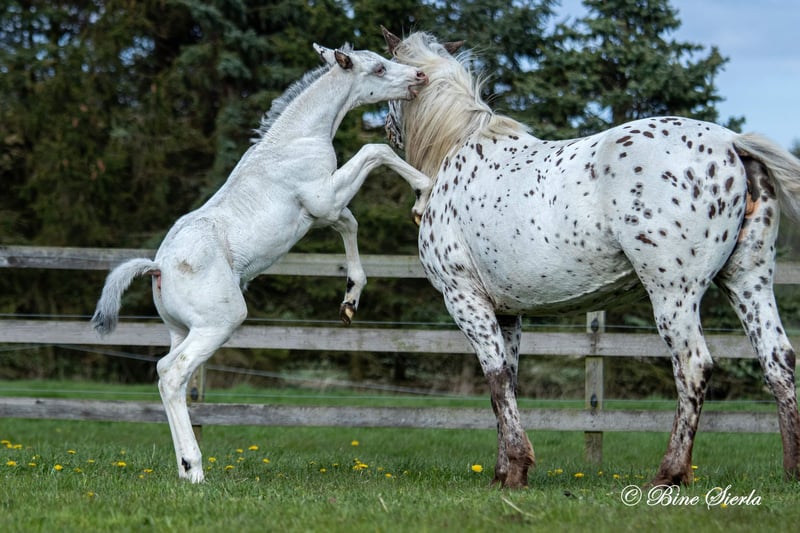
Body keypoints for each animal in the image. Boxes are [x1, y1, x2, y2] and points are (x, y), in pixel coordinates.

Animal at [91, 42, 430, 482]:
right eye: (378, 68)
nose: (420, 77)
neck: (296, 139)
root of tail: (158, 267)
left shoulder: (324, 212)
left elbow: (351, 224)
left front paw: (350, 302)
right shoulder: (324, 197)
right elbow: (377, 151)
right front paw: (422, 197)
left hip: (181, 330)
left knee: (170, 376)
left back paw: (184, 468)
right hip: (220, 322)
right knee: (172, 374)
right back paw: (195, 469)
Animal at [382, 27, 800, 489]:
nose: (388, 130)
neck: (456, 153)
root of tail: (731, 143)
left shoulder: (464, 299)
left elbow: (495, 380)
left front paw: (516, 467)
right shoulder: (507, 313)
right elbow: (508, 382)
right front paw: (503, 473)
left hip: (673, 295)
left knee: (693, 366)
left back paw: (669, 473)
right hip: (748, 282)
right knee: (779, 361)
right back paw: (791, 470)